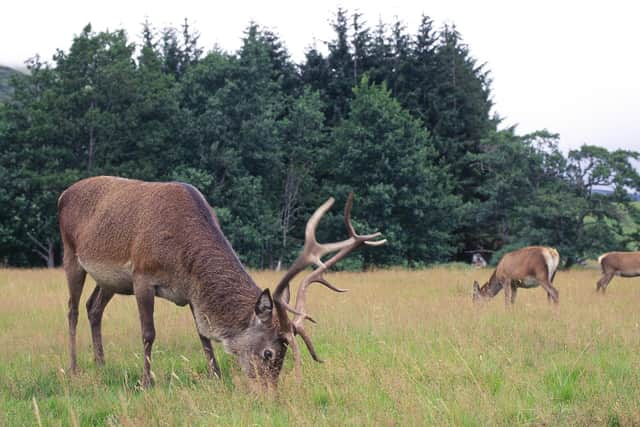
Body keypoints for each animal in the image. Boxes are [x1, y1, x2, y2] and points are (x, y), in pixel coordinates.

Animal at [57, 176, 384, 390]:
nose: (269, 390)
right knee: (72, 309)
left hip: (110, 280)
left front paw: (216, 375)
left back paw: (101, 363)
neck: (182, 257)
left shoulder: (191, 292)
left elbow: (203, 335)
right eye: (268, 353)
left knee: (93, 307)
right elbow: (149, 333)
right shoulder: (142, 276)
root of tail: (63, 194)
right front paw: (146, 380)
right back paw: (74, 367)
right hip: (71, 253)